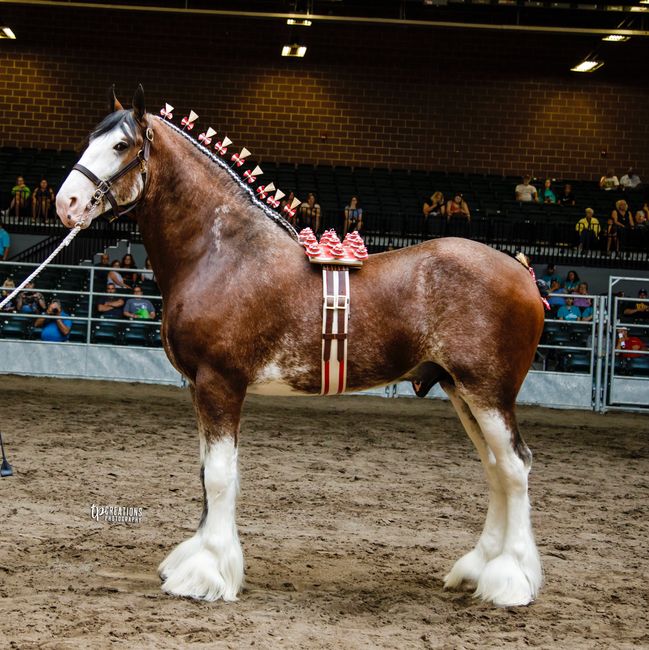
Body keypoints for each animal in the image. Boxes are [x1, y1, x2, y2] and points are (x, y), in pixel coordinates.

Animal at [55, 87, 544, 608]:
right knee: (496, 469)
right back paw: (478, 569)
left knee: (515, 467)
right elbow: (206, 473)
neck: (223, 254)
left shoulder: (220, 384)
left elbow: (220, 475)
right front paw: (195, 561)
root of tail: (523, 272)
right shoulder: (198, 388)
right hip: (459, 390)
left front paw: (206, 576)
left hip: (487, 393)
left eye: (121, 145)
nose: (67, 203)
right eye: (90, 140)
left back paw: (510, 581)